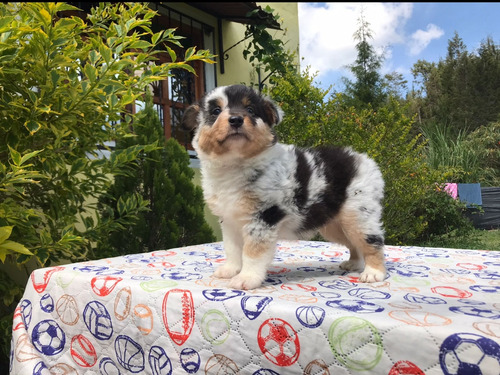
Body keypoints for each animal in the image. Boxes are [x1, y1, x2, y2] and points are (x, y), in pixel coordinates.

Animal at [182, 85, 384, 290]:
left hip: (358, 216)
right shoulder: (229, 221)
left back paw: (373, 273)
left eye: (250, 110)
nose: (236, 119)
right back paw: (353, 264)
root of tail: (365, 160)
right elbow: (232, 249)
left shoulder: (263, 217)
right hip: (334, 225)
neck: (235, 164)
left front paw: (246, 278)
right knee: (354, 244)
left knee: (372, 242)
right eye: (216, 111)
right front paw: (230, 270)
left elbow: (252, 252)